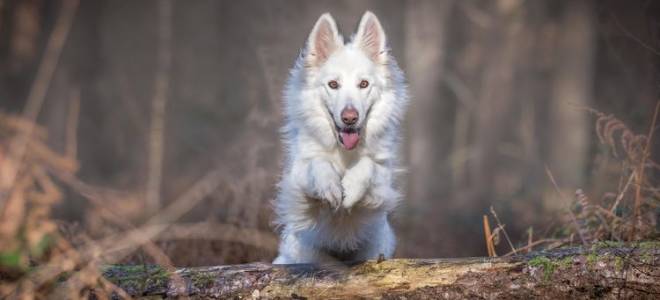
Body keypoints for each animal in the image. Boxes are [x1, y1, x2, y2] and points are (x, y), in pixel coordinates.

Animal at [272, 11, 408, 264]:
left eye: (363, 84)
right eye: (333, 84)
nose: (350, 118)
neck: (344, 153)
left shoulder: (381, 189)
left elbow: (368, 165)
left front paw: (351, 188)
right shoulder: (296, 183)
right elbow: (316, 163)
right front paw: (330, 186)